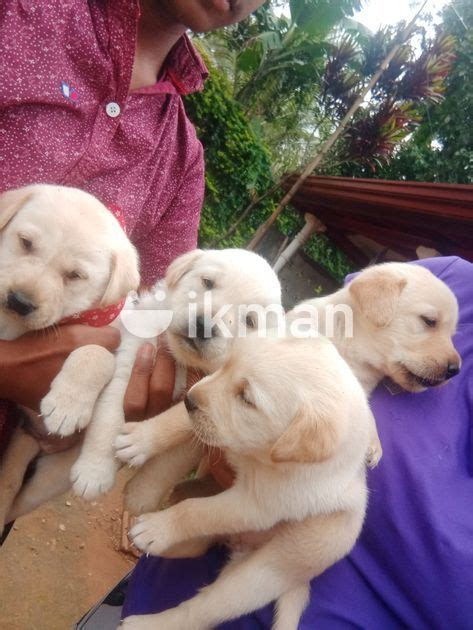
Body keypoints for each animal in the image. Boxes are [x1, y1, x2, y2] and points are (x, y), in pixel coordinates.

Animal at [0, 184, 138, 532]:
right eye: (26, 242)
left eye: (75, 275)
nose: (18, 302)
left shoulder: (122, 345)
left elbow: (96, 354)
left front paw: (67, 405)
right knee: (8, 483)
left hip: (52, 476)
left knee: (20, 501)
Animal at [120, 334, 370, 628]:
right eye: (227, 365)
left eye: (246, 399)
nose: (189, 400)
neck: (257, 455)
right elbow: (177, 424)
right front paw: (141, 442)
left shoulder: (255, 505)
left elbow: (196, 512)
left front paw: (157, 529)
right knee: (198, 546)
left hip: (266, 572)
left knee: (204, 609)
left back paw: (149, 620)